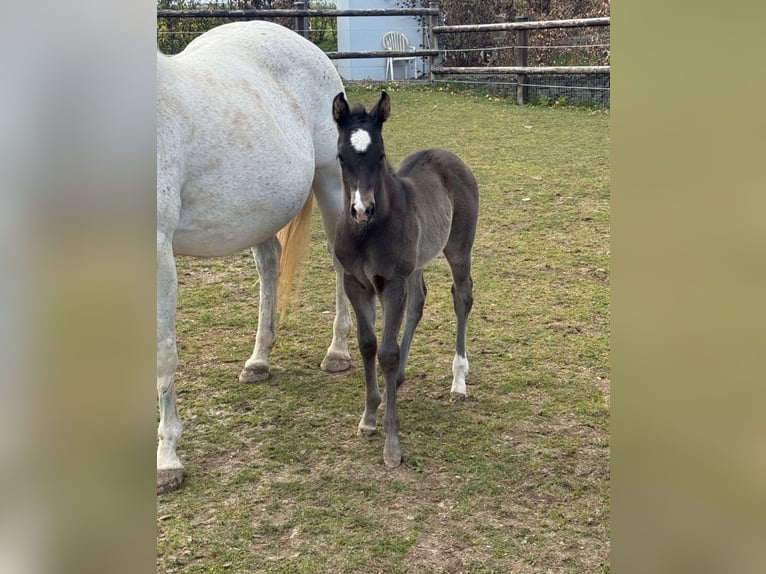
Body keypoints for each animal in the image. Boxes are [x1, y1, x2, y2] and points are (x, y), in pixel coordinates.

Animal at [157, 21, 354, 494]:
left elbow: (163, 354)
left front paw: (167, 459)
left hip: (332, 185)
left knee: (340, 263)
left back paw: (338, 352)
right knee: (269, 265)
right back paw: (259, 359)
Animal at [331, 91, 479, 468]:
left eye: (381, 154)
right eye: (341, 156)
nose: (361, 210)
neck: (367, 233)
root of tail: (446, 154)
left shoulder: (392, 282)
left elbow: (387, 352)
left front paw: (392, 445)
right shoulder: (356, 283)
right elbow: (368, 345)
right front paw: (369, 417)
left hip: (458, 249)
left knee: (462, 296)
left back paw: (458, 381)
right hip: (416, 264)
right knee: (419, 301)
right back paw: (396, 382)